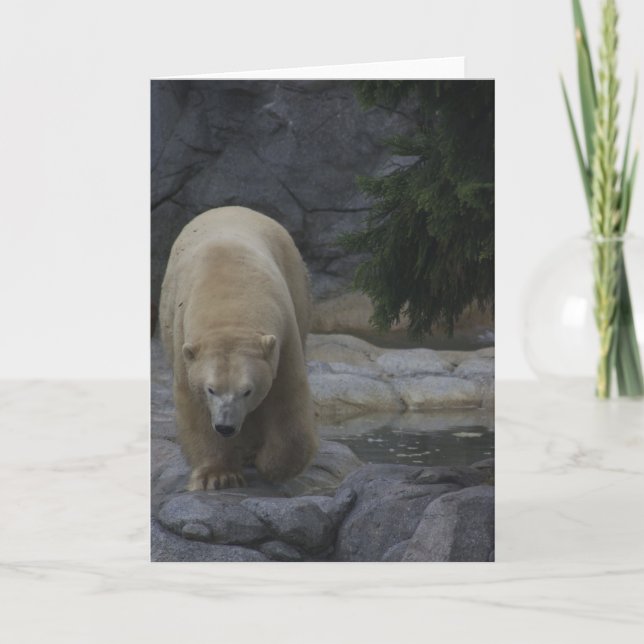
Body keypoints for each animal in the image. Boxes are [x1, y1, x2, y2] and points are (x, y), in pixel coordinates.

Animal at [159, 206, 319, 491]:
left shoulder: (284, 333)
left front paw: (271, 463)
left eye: (247, 391)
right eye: (211, 389)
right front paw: (218, 476)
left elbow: (287, 396)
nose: (225, 427)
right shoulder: (184, 343)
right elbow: (194, 407)